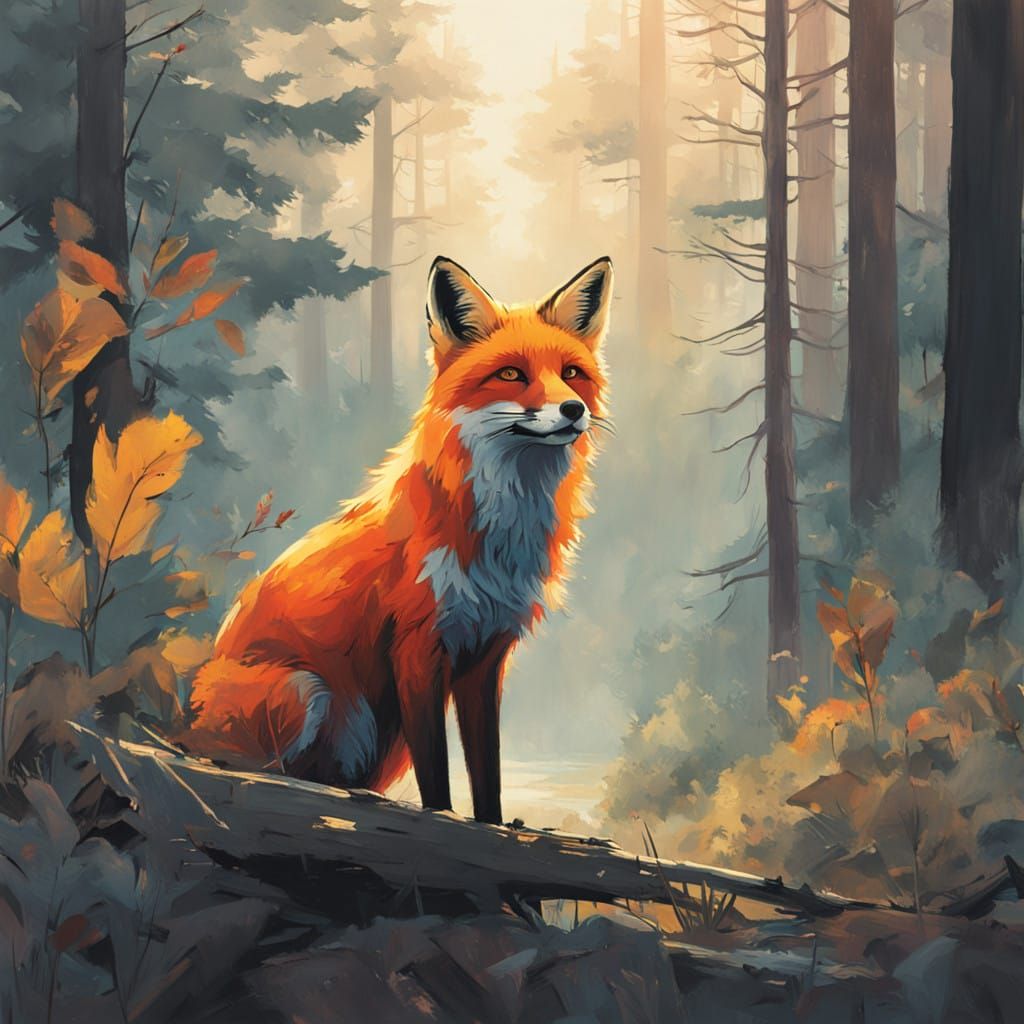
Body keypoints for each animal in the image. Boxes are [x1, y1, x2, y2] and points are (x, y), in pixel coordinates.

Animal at [185, 255, 613, 824]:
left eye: (570, 373)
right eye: (511, 374)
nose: (572, 410)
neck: (498, 537)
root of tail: (175, 721)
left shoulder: (486, 657)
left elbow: (488, 773)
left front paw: (494, 824)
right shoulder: (417, 645)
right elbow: (437, 774)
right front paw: (444, 820)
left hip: (379, 741)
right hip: (307, 691)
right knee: (256, 770)